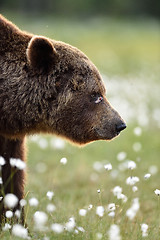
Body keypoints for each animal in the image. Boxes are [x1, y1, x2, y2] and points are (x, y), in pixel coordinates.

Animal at [0, 14, 125, 223]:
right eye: (95, 95)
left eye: (103, 92)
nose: (119, 124)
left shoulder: (9, 138)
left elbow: (11, 174)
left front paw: (14, 220)